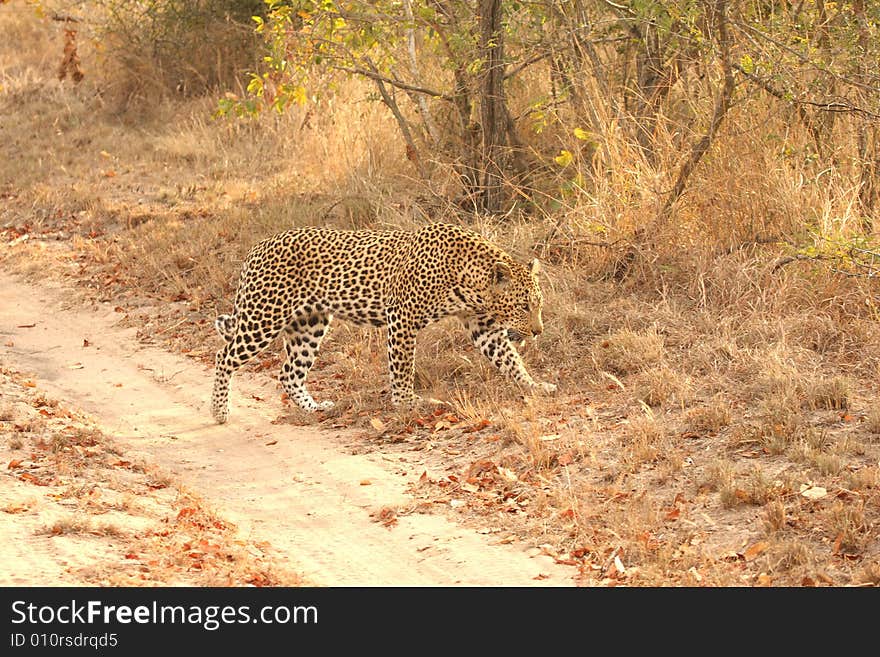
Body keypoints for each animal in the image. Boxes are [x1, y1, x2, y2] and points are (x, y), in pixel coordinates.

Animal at [211, 223, 556, 422]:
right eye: (524, 306)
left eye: (538, 305)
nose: (538, 332)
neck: (471, 280)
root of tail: (256, 248)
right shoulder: (403, 316)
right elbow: (402, 367)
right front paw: (407, 402)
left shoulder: (483, 326)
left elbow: (510, 359)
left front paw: (534, 385)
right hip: (264, 316)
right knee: (224, 356)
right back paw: (219, 411)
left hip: (310, 324)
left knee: (289, 372)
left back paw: (313, 408)